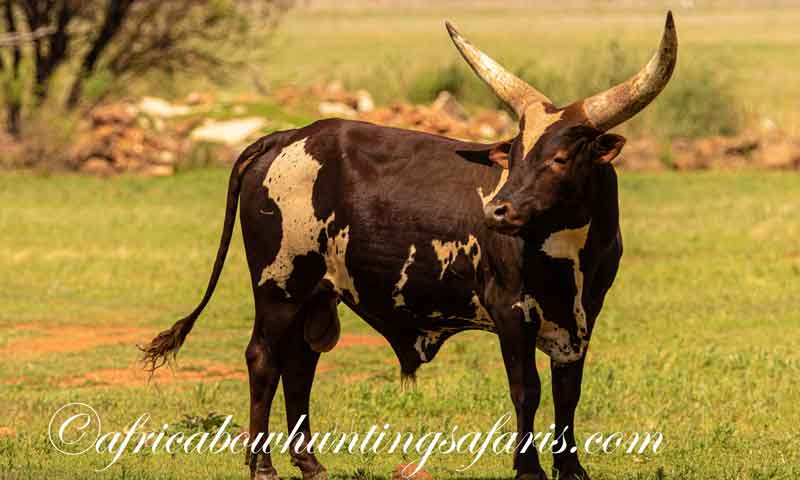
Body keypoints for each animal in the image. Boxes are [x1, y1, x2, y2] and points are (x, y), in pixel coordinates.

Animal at [142, 12, 677, 480]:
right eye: (515, 153)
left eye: (562, 157)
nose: (497, 211)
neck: (568, 254)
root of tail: (285, 137)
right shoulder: (510, 312)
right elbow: (527, 389)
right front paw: (528, 469)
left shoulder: (582, 317)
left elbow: (569, 392)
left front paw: (572, 468)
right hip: (279, 285)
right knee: (263, 359)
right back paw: (263, 467)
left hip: (316, 293)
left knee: (300, 364)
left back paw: (310, 463)